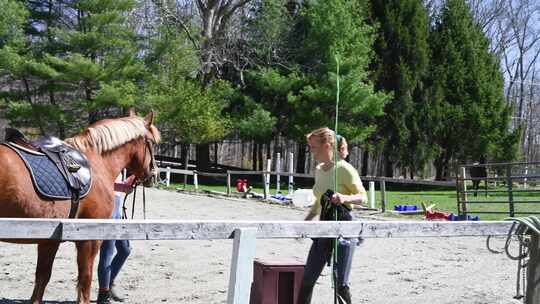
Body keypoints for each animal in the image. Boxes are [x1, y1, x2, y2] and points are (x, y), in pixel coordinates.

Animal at [0, 110, 160, 302]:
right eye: (153, 143)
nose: (155, 174)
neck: (97, 162)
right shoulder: (89, 239)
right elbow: (85, 281)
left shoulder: (50, 239)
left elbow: (41, 279)